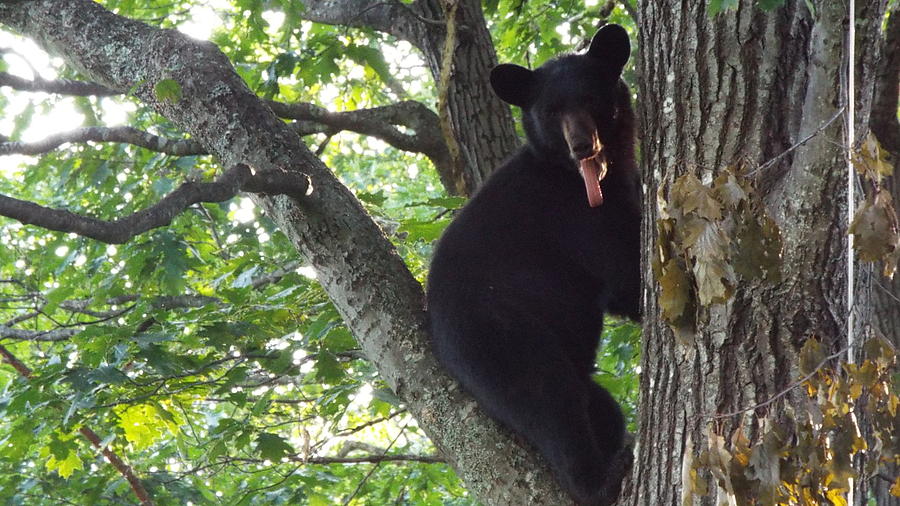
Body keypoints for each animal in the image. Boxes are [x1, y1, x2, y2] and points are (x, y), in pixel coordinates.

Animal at [428, 24, 640, 506]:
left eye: (591, 98)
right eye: (551, 110)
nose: (581, 145)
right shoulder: (576, 220)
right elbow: (624, 279)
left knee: (598, 405)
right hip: (499, 335)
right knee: (549, 399)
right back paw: (601, 479)